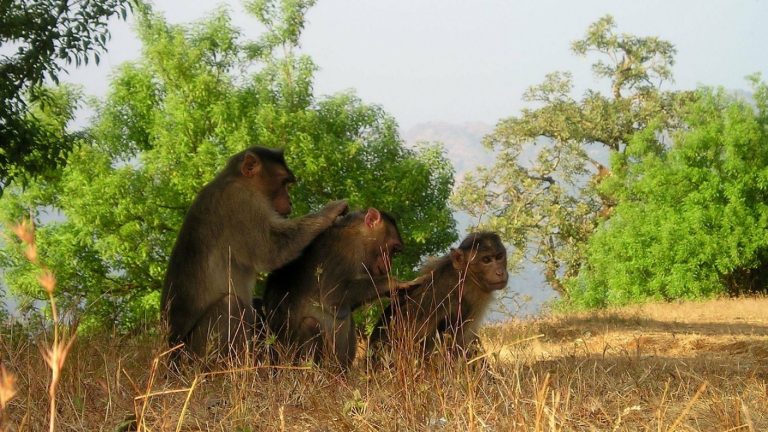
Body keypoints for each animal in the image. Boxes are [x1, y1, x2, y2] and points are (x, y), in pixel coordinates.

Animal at [160, 146, 348, 360]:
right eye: (284, 183)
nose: (290, 201)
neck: (235, 179)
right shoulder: (241, 202)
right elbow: (271, 249)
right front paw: (330, 211)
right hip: (192, 354)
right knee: (230, 304)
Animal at [263, 208, 413, 369]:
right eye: (393, 249)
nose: (388, 264)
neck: (360, 237)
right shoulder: (345, 251)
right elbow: (334, 297)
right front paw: (392, 283)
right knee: (310, 324)